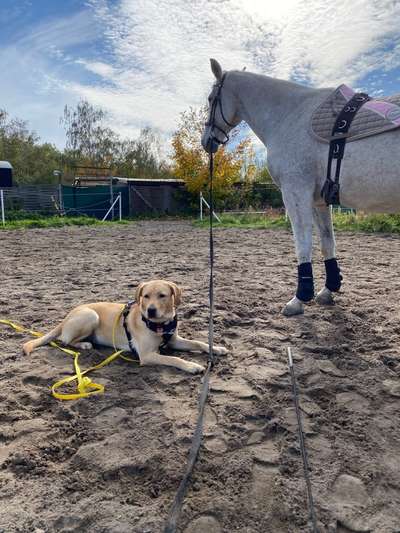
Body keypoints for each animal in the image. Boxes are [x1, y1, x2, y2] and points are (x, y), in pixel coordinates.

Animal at [22, 278, 228, 374]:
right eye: (145, 296)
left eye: (162, 295)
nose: (151, 310)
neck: (160, 324)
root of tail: (65, 317)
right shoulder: (147, 355)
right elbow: (173, 359)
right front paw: (191, 365)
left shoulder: (174, 340)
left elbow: (199, 343)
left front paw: (216, 348)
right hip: (91, 315)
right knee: (65, 341)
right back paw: (84, 344)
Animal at [202, 58, 400, 316]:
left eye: (210, 99)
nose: (206, 141)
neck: (289, 115)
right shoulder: (319, 199)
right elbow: (327, 242)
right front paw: (328, 290)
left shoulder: (295, 192)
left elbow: (303, 244)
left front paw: (300, 298)